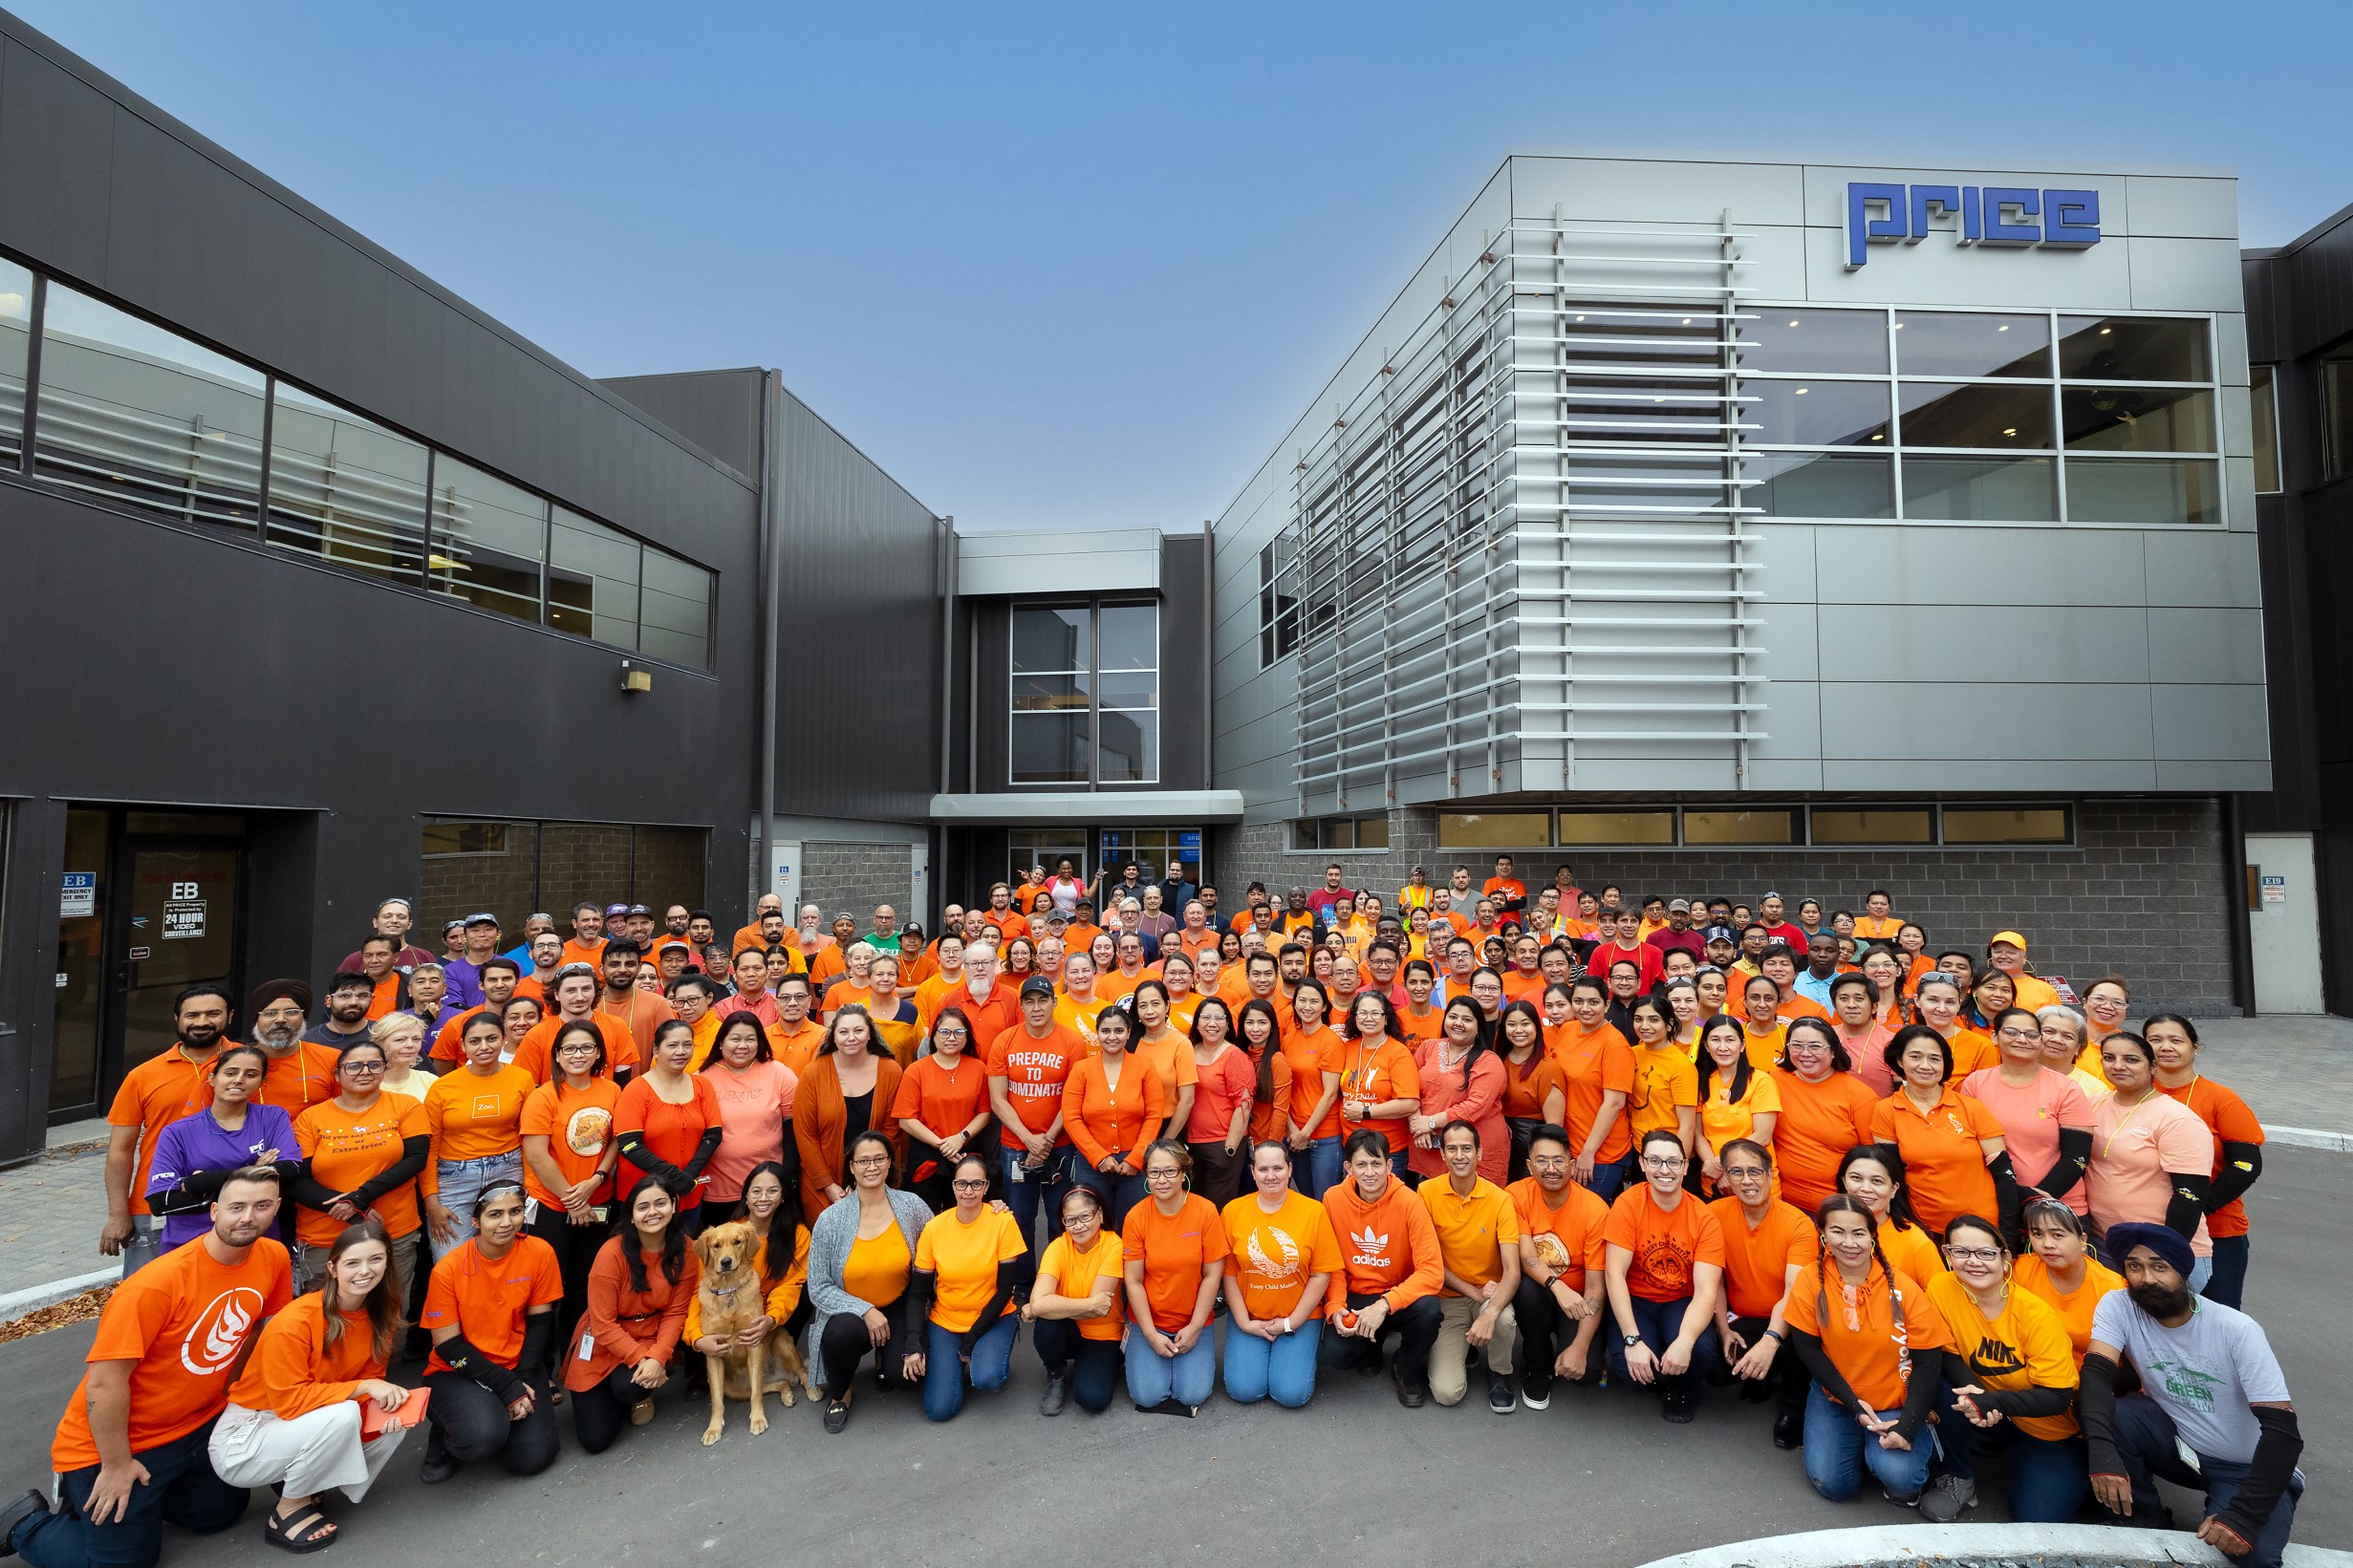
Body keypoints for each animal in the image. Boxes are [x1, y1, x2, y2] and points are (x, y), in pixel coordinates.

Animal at [686, 1222, 809, 1448]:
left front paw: (758, 1419)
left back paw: (812, 1392)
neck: (729, 1289)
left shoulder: (753, 1342)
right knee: (776, 1384)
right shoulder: (714, 1352)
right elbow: (716, 1401)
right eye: (716, 1245)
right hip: (733, 1389)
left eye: (738, 1242)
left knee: (800, 1373)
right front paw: (713, 1429)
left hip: (782, 1345)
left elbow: (755, 1395)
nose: (726, 1262)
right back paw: (787, 1394)